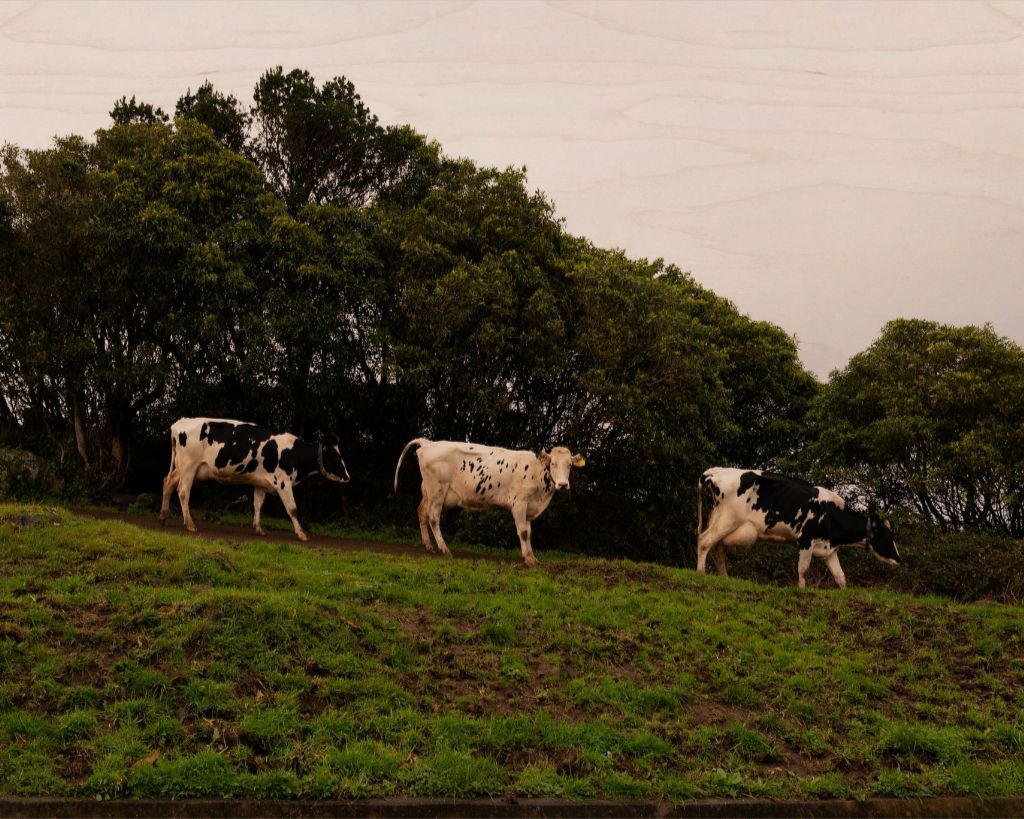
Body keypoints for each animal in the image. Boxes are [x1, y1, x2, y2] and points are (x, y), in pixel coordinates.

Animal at [157, 415, 350, 544]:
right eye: (335, 458)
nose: (348, 477)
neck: (294, 453)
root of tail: (180, 422)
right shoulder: (283, 482)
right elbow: (293, 509)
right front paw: (301, 534)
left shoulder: (261, 483)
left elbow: (258, 505)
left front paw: (259, 528)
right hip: (189, 467)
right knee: (183, 492)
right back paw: (189, 524)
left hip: (181, 468)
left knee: (168, 483)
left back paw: (163, 517)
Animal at [391, 438, 585, 565]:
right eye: (553, 464)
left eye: (569, 465)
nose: (563, 484)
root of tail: (429, 442)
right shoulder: (519, 503)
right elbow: (523, 532)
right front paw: (528, 559)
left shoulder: (530, 508)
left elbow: (529, 533)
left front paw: (532, 556)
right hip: (437, 491)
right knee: (433, 517)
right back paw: (444, 549)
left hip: (428, 492)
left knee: (422, 512)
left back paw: (428, 546)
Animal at [696, 466, 897, 589]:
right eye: (888, 537)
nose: (899, 559)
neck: (832, 513)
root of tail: (717, 471)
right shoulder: (806, 540)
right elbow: (803, 569)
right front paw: (802, 589)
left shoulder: (829, 550)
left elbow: (840, 576)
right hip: (728, 519)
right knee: (704, 541)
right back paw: (701, 573)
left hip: (723, 521)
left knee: (718, 548)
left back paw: (724, 577)